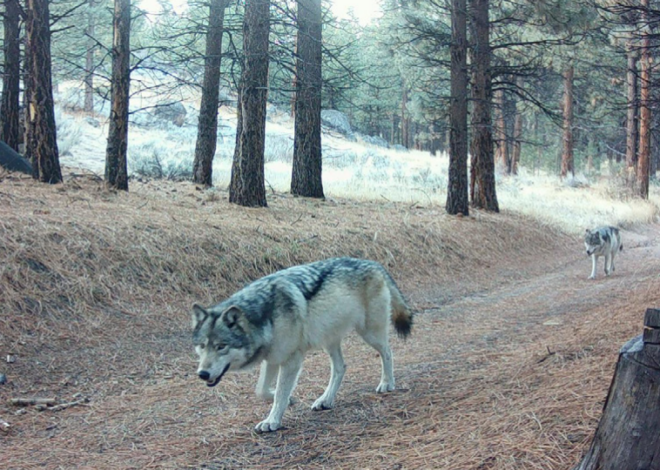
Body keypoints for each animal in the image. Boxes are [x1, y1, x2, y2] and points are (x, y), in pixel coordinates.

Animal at [191, 257, 413, 433]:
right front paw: (289, 400)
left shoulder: (291, 359)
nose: (202, 374)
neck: (265, 316)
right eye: (202, 346)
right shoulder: (272, 359)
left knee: (388, 352)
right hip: (329, 340)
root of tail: (374, 263)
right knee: (341, 367)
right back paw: (325, 400)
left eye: (221, 346)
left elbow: (280, 392)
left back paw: (387, 383)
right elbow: (261, 390)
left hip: (369, 333)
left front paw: (272, 420)